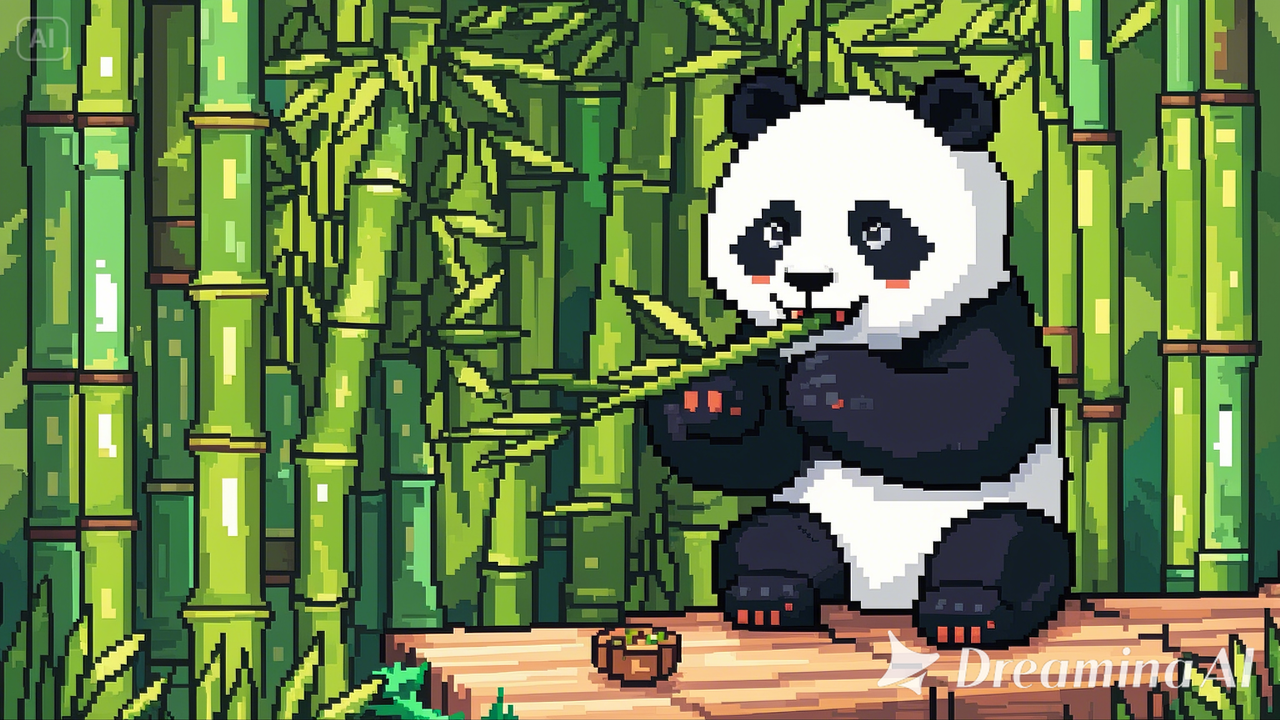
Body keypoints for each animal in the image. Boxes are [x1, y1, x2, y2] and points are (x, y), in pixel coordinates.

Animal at [645, 71, 1072, 649]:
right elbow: (762, 456)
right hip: (813, 516)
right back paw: (768, 594)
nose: (807, 280)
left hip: (1002, 517)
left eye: (876, 229)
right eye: (775, 228)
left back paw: (966, 609)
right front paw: (706, 397)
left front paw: (828, 384)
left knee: (1009, 544)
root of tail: (882, 596)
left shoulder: (989, 313)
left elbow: (978, 413)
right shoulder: (765, 337)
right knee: (769, 535)